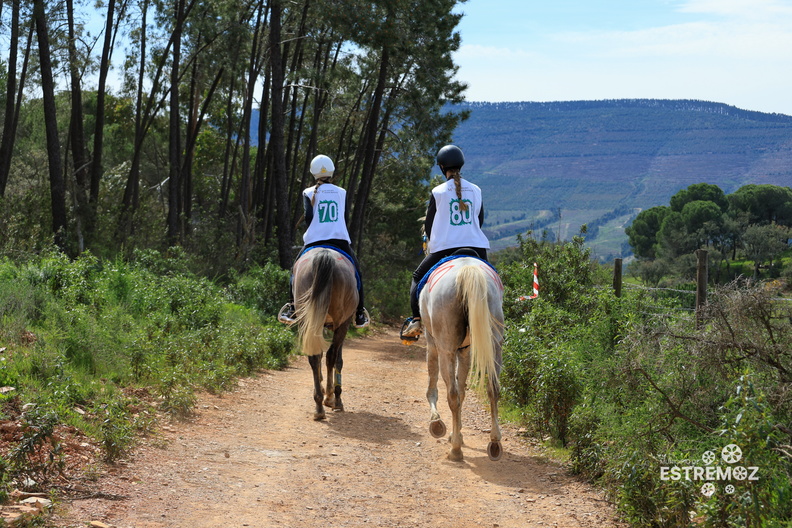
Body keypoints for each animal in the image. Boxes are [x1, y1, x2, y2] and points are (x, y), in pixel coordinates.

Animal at [292, 246, 358, 420]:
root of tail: (324, 254)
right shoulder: (343, 324)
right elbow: (337, 360)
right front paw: (335, 398)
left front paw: (321, 388)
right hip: (341, 322)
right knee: (331, 356)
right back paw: (328, 398)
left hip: (307, 317)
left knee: (314, 358)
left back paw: (319, 406)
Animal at [418, 254, 504, 460]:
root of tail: (467, 270)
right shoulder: (465, 351)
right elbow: (463, 389)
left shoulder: (432, 344)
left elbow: (434, 385)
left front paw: (437, 424)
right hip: (495, 345)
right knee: (493, 388)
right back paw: (494, 442)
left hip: (446, 347)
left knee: (452, 394)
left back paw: (455, 449)